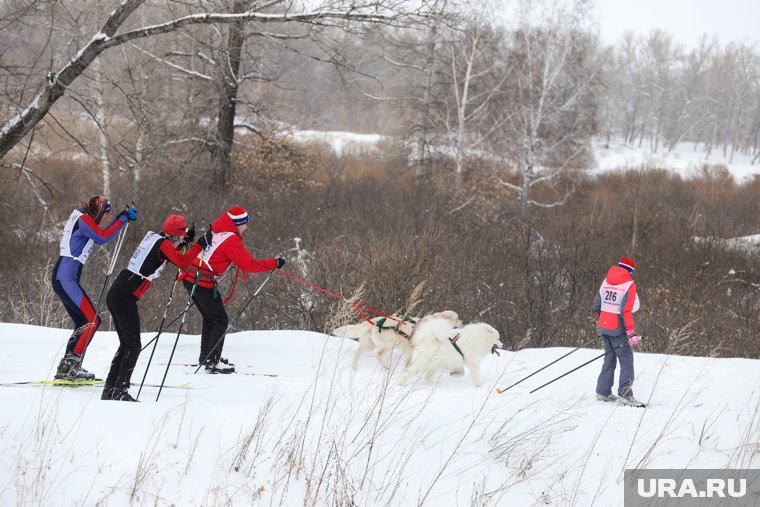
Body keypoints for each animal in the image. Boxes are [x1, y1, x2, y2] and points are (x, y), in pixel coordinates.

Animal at [334, 310, 464, 370]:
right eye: (457, 318)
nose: (463, 322)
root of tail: (375, 321)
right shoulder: (412, 349)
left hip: (370, 344)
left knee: (358, 353)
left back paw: (355, 368)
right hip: (389, 342)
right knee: (378, 354)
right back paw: (386, 366)